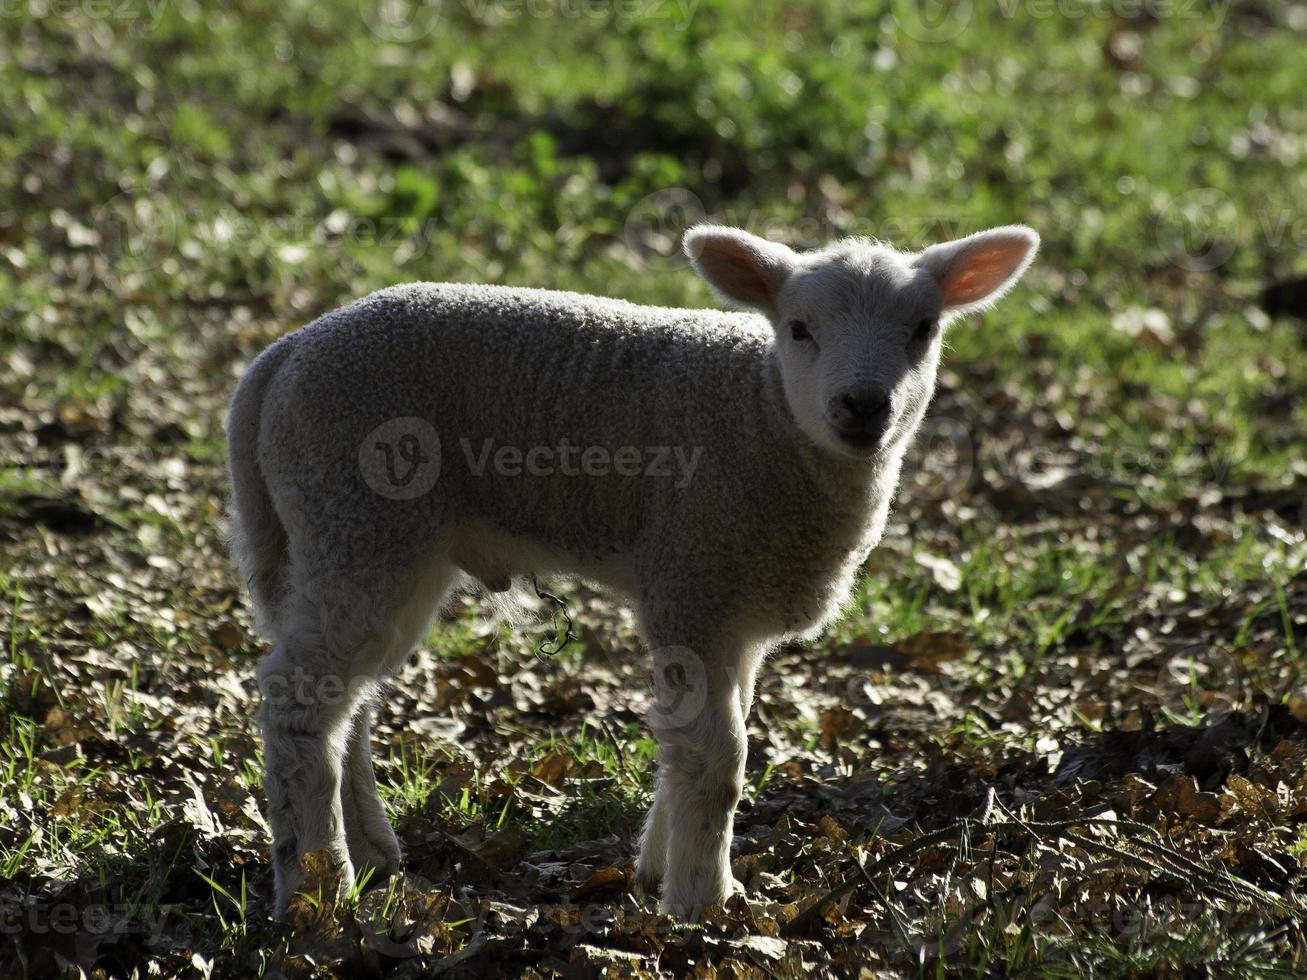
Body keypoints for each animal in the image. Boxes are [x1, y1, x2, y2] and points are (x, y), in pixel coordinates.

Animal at [227, 220, 1040, 919]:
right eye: (799, 329)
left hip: (367, 542)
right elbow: (718, 760)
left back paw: (369, 852)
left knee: (347, 699)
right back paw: (317, 886)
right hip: (358, 512)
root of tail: (281, 357)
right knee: (299, 698)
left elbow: (689, 748)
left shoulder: (733, 610)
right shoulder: (690, 579)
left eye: (923, 330)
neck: (764, 415)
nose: (864, 406)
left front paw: (657, 868)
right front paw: (701, 901)